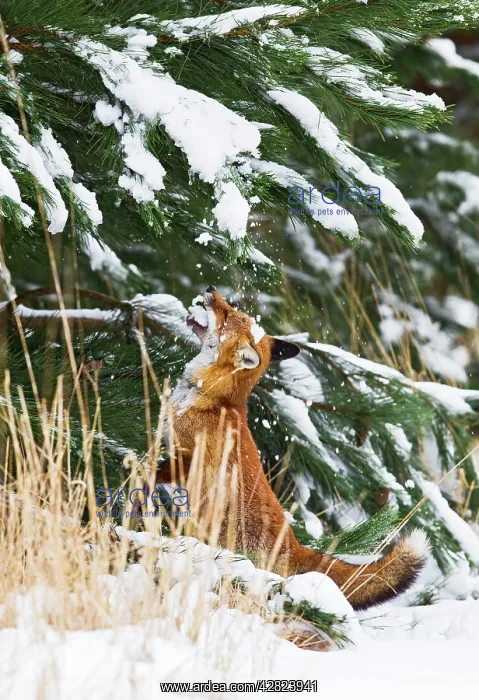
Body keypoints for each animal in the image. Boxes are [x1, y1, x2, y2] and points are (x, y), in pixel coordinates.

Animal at [155, 286, 429, 610]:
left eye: (227, 315)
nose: (210, 290)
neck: (214, 399)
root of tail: (294, 544)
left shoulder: (187, 458)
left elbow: (158, 471)